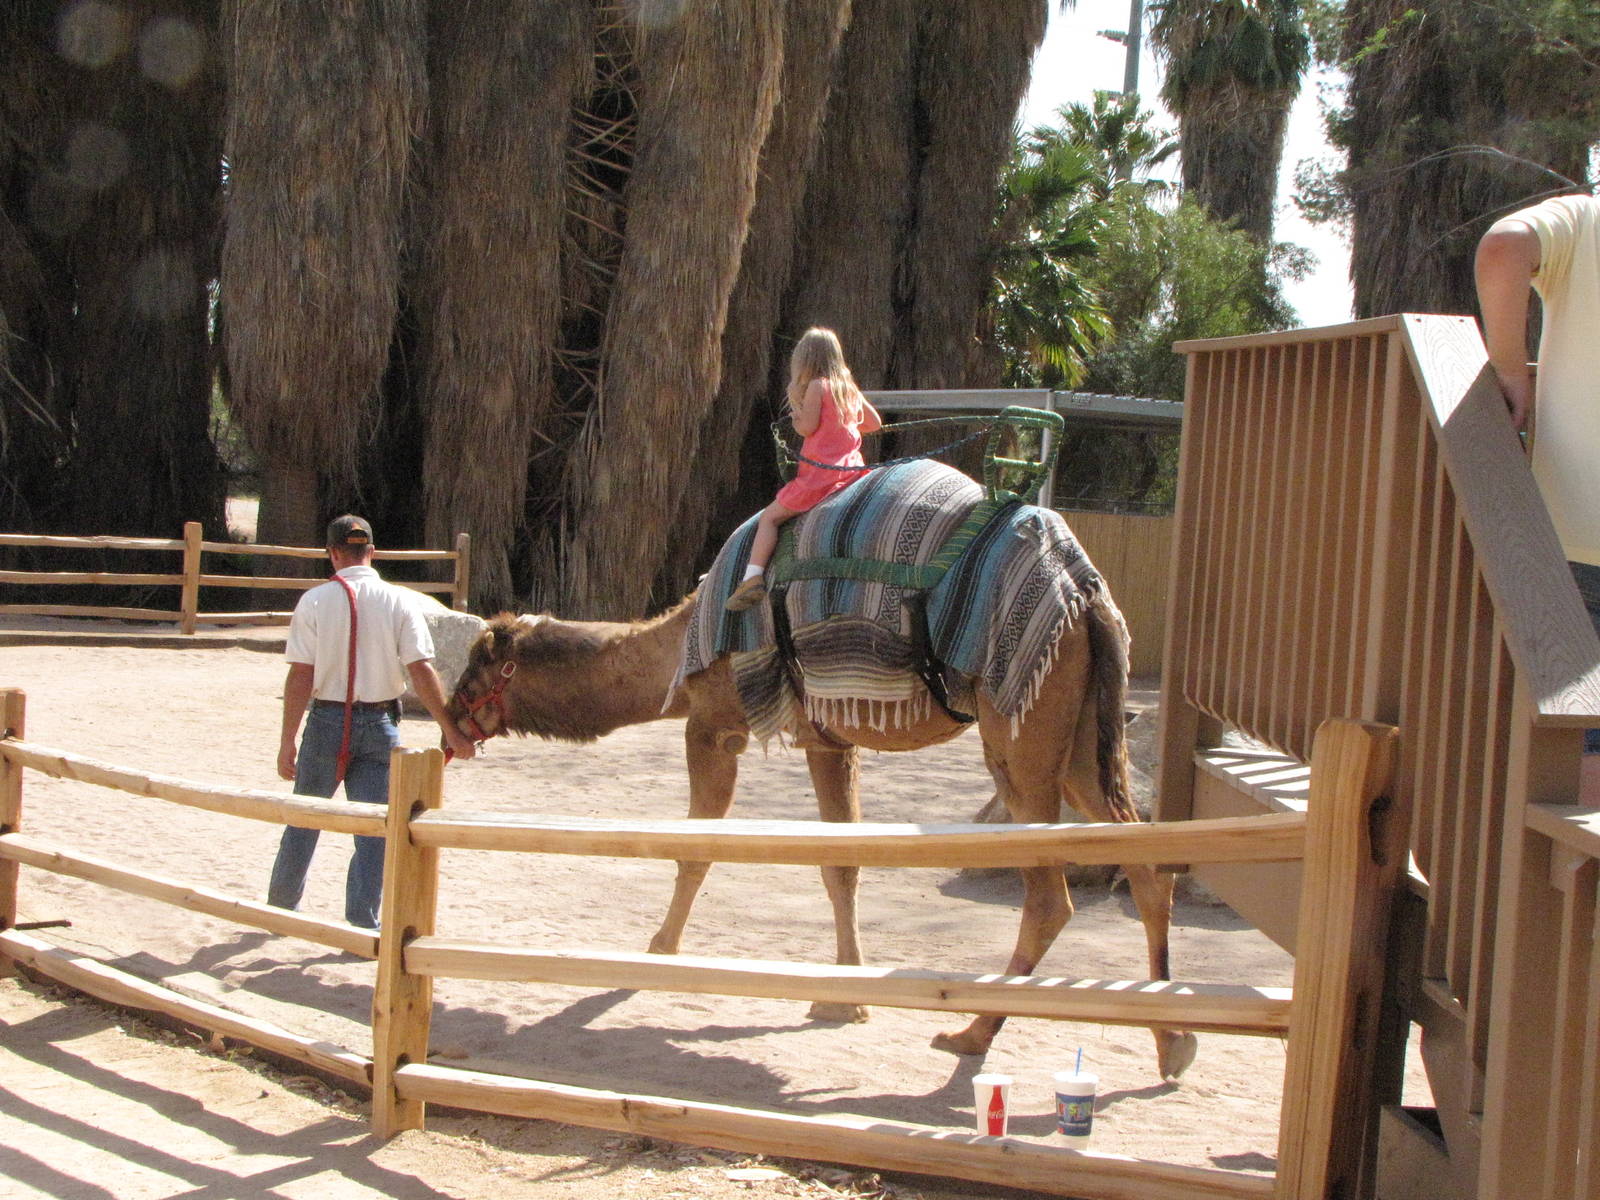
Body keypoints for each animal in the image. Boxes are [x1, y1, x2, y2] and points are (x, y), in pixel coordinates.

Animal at [445, 584, 1198, 1080]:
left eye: (478, 664)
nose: (450, 718)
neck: (673, 655)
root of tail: (1093, 610)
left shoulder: (712, 727)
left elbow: (698, 848)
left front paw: (659, 951)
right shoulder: (828, 739)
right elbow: (842, 861)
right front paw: (844, 997)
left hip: (1022, 736)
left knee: (1051, 895)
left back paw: (972, 1033)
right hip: (1079, 744)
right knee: (1144, 869)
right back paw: (1172, 1043)